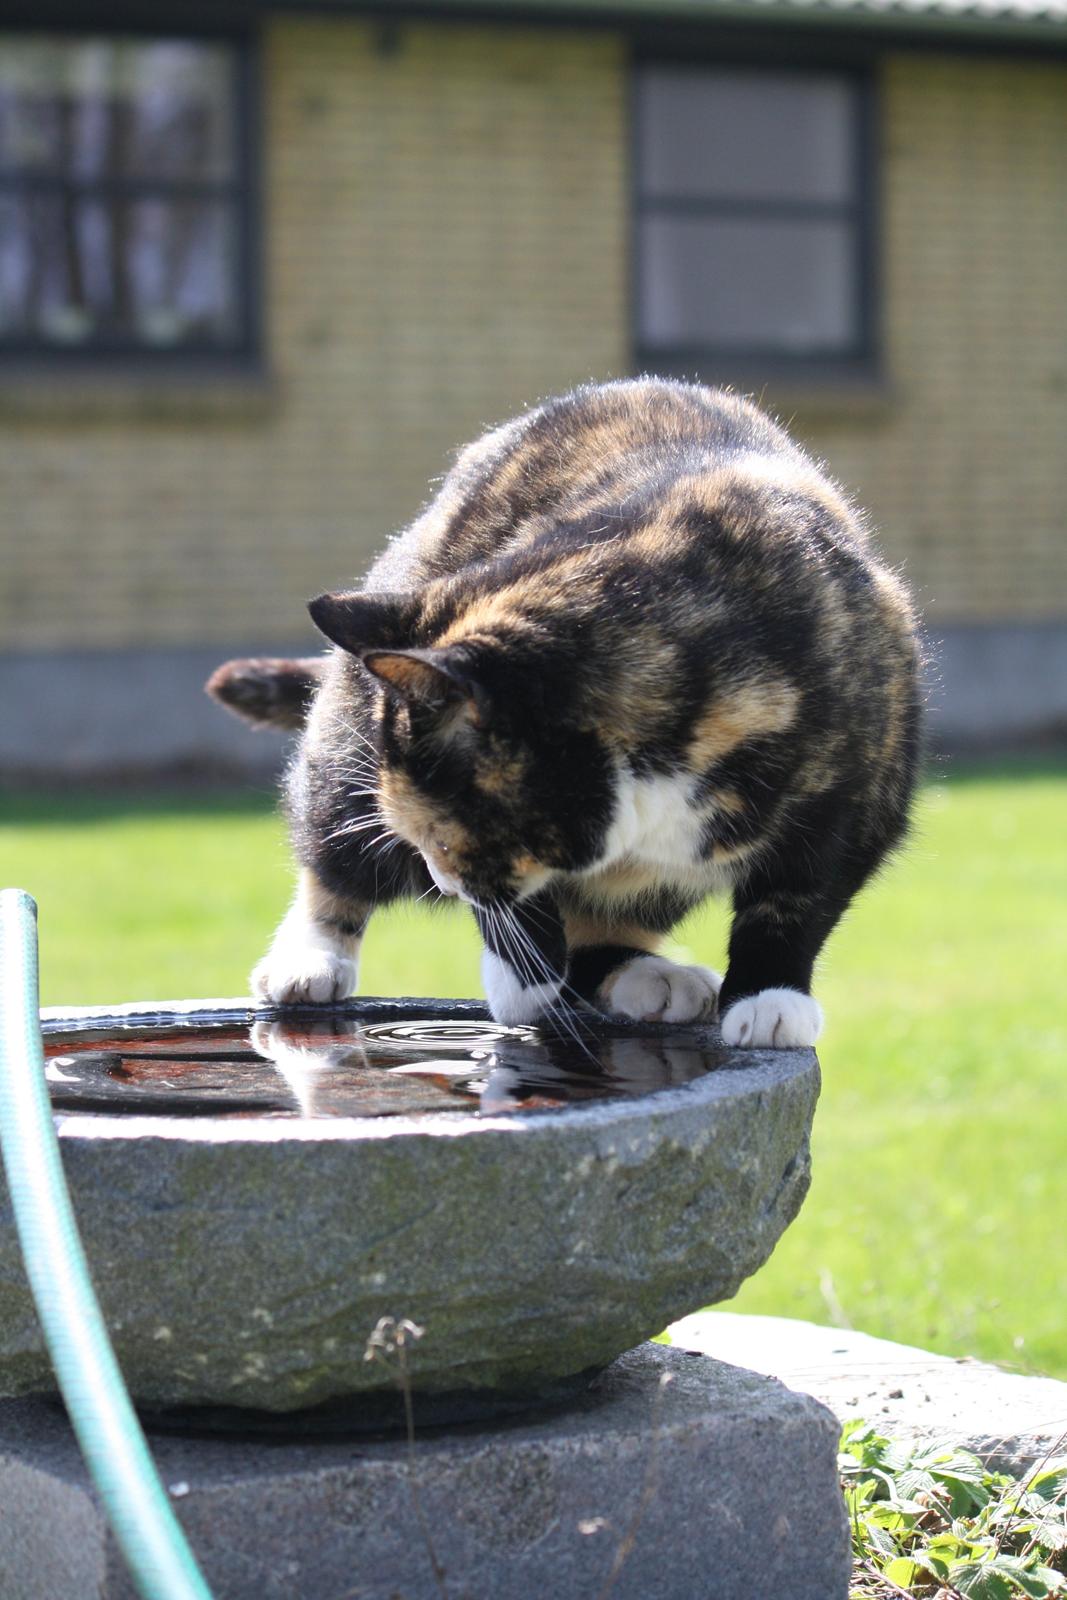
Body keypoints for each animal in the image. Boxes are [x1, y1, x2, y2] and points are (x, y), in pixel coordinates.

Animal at [211, 377, 927, 1049]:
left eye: (442, 838)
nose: (441, 880)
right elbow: (514, 908)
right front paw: (525, 980)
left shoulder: (858, 800)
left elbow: (798, 897)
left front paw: (771, 996)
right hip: (351, 728)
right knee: (333, 847)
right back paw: (308, 961)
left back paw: (646, 977)